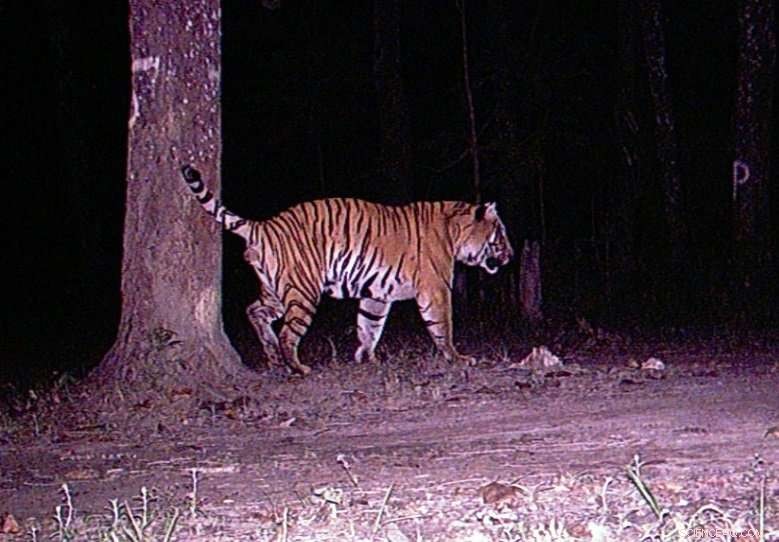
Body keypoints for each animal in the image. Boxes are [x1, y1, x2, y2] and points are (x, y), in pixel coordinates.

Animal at [180, 165, 514, 375]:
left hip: (275, 290)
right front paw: (458, 358)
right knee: (288, 332)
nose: (510, 255)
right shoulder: (436, 289)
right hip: (304, 291)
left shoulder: (377, 294)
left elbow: (369, 326)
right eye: (501, 234)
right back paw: (297, 367)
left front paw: (367, 358)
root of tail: (264, 225)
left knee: (254, 311)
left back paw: (273, 357)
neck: (454, 231)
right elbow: (443, 326)